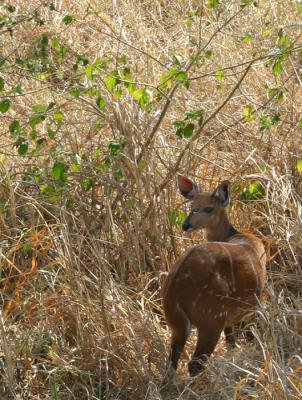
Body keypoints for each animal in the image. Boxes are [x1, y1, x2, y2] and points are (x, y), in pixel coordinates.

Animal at [163, 176, 266, 378]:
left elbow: (231, 342)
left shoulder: (231, 316)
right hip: (211, 317)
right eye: (192, 205)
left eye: (208, 208)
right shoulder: (252, 305)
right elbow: (248, 335)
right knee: (195, 364)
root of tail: (174, 287)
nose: (185, 225)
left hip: (176, 322)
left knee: (171, 363)